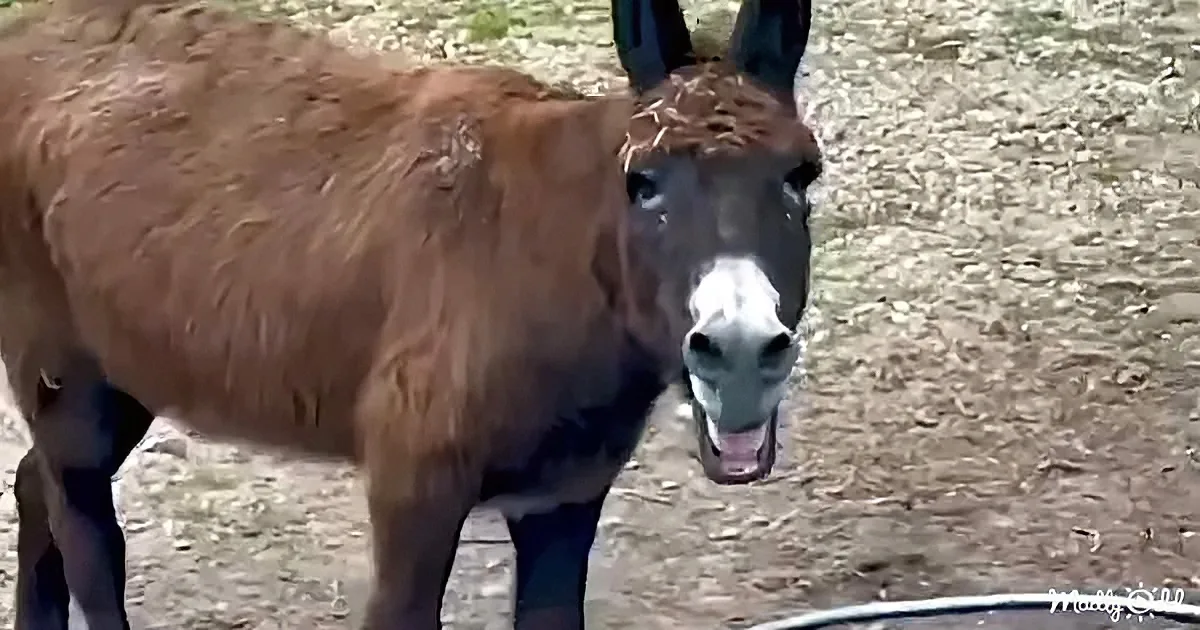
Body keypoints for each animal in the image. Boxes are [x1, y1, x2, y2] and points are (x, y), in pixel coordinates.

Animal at [0, 0, 821, 628]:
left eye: (800, 177)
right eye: (643, 183)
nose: (740, 355)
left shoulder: (565, 490)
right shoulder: (413, 482)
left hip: (124, 371)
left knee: (34, 481)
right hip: (65, 371)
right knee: (88, 535)